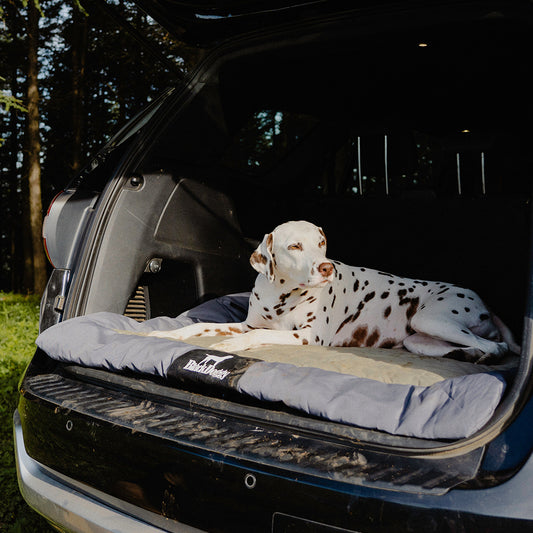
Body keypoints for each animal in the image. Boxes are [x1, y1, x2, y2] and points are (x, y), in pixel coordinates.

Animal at [150, 219, 520, 362]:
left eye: (321, 242)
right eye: (295, 246)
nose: (327, 267)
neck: (280, 294)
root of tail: (483, 301)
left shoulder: (307, 336)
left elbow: (256, 336)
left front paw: (231, 345)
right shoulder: (248, 323)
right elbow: (200, 326)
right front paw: (168, 334)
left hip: (431, 320)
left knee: (496, 346)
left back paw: (487, 354)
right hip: (420, 339)